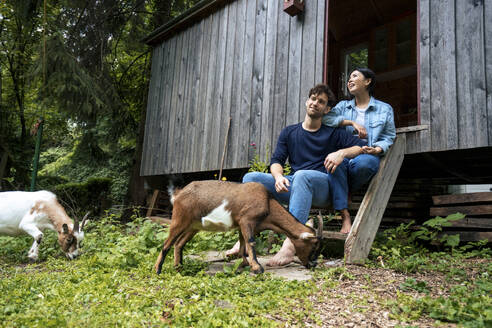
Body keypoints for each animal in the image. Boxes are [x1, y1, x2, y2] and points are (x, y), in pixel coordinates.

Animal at [154, 179, 322, 274]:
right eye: (314, 245)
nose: (313, 264)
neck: (268, 201)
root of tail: (178, 194)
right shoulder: (247, 220)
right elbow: (251, 243)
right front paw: (257, 268)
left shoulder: (243, 225)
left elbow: (243, 245)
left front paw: (244, 265)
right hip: (179, 219)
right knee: (166, 244)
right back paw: (158, 270)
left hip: (193, 226)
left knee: (178, 244)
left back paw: (179, 268)